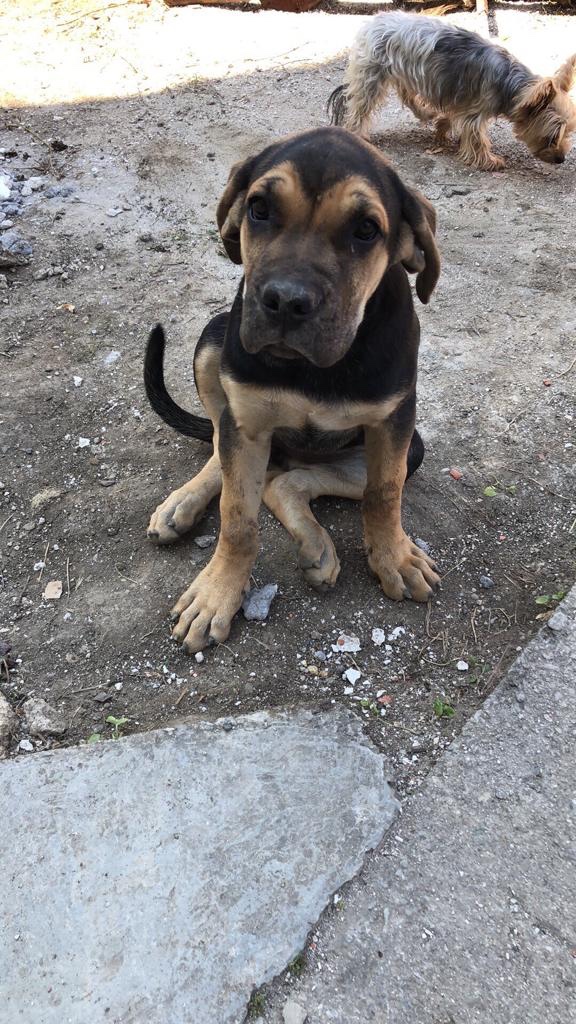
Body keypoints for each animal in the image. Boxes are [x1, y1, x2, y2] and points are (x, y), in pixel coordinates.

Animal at [144, 128, 438, 651]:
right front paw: (217, 593)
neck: (310, 368)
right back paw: (184, 502)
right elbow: (237, 519)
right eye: (259, 208)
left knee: (284, 482)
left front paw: (394, 558)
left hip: (411, 448)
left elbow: (384, 493)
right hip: (214, 340)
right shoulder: (245, 422)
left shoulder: (394, 419)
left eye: (366, 229)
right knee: (224, 451)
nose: (285, 301)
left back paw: (315, 542)